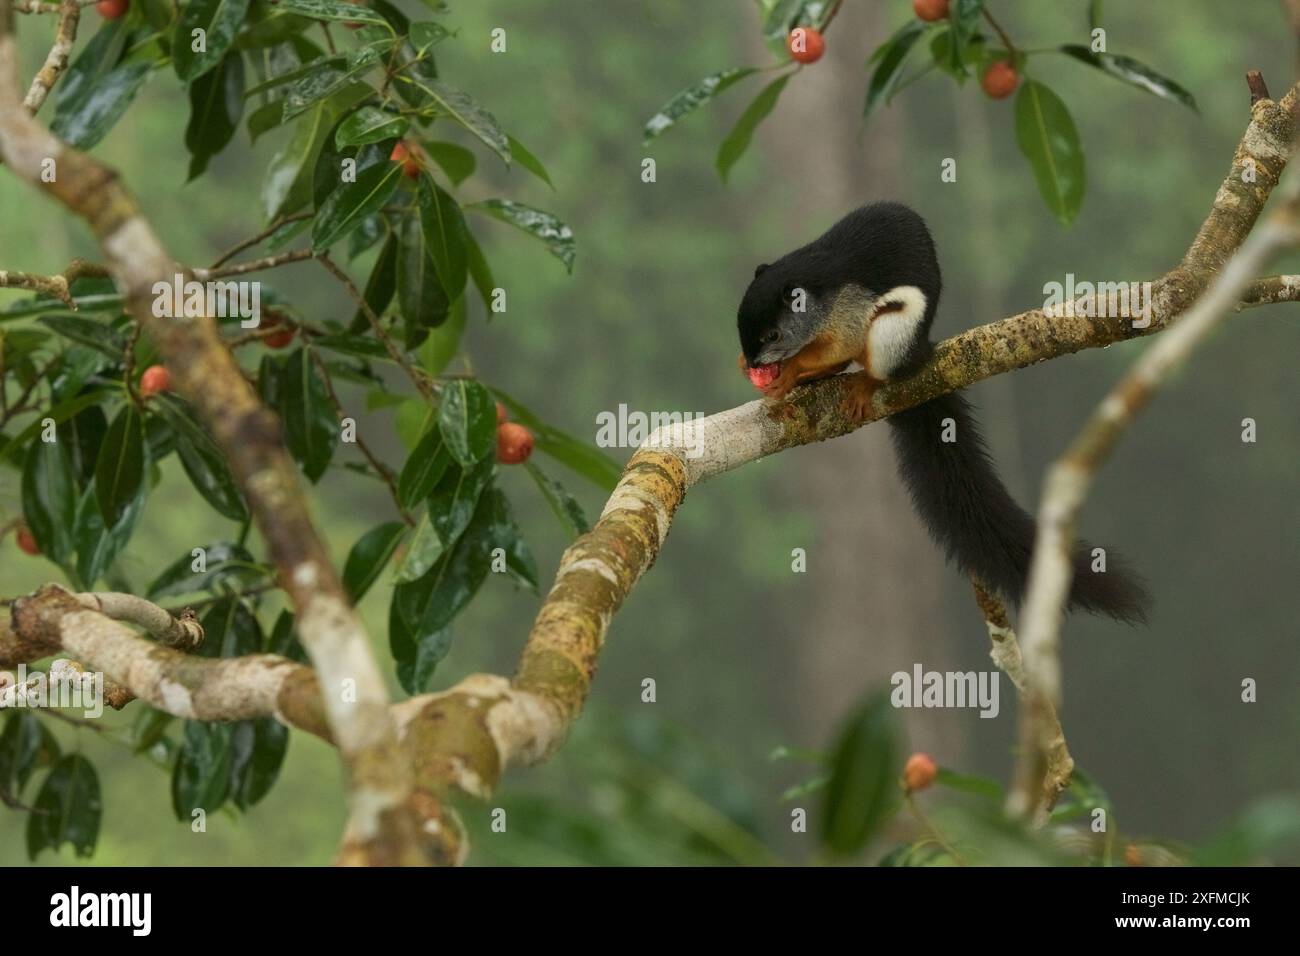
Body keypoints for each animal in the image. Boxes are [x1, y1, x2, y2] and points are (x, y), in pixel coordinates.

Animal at [737, 201, 1150, 624]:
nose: (753, 361)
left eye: (773, 335)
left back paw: (865, 383)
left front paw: (790, 371)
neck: (814, 292)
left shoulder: (847, 310)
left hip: (895, 330)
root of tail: (919, 355)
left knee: (877, 357)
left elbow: (838, 345)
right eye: (741, 326)